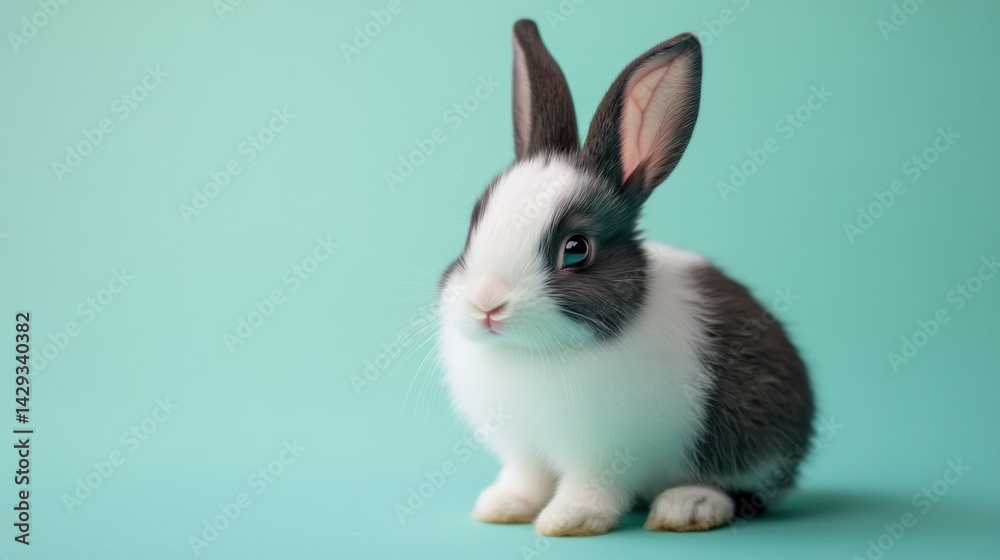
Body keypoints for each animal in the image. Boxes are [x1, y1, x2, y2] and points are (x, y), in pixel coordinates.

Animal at [437, 19, 814, 536]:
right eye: (473, 226)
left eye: (576, 250)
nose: (487, 304)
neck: (529, 353)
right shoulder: (524, 449)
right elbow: (526, 479)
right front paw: (502, 507)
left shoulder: (602, 453)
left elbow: (591, 488)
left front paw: (568, 521)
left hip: (749, 437)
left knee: (747, 491)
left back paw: (687, 507)